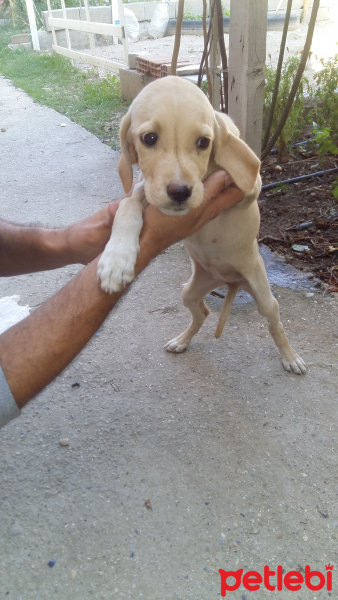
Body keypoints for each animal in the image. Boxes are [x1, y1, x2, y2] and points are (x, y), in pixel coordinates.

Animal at [97, 77, 306, 372]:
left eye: (204, 142)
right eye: (149, 138)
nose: (180, 192)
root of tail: (229, 281)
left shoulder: (252, 186)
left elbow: (241, 181)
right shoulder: (142, 188)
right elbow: (127, 206)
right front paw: (116, 260)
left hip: (264, 296)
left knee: (274, 323)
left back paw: (290, 357)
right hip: (190, 290)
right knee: (203, 312)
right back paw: (182, 341)